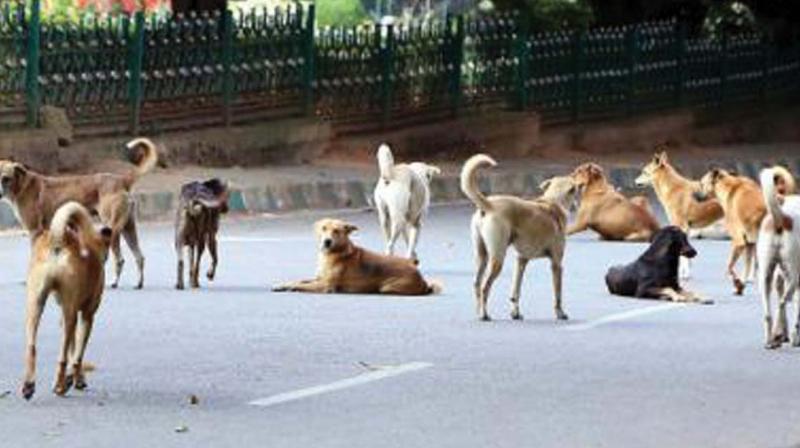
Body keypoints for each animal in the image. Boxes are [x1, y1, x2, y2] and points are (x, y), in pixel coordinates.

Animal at [0, 138, 159, 288]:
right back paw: (138, 283)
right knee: (139, 257)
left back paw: (113, 282)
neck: (22, 185)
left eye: (5, 178)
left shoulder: (35, 231)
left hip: (112, 228)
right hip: (128, 228)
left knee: (119, 259)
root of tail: (122, 180)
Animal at [20, 201, 111, 400]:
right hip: (71, 314)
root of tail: (58, 238)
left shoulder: (65, 315)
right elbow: (77, 355)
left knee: (31, 347)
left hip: (35, 305)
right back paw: (59, 387)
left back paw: (29, 385)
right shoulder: (87, 316)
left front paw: (77, 378)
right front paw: (76, 379)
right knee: (62, 357)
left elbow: (73, 349)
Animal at [274, 219, 438, 296]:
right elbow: (300, 281)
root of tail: (422, 279)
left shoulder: (325, 285)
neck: (335, 252)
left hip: (387, 287)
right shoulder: (318, 278)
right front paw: (283, 285)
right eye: (323, 228)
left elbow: (303, 285)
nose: (327, 241)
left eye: (336, 231)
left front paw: (293, 288)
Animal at [460, 154, 564, 322]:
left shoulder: (521, 260)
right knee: (485, 287)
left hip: (482, 256)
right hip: (497, 258)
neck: (551, 203)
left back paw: (478, 312)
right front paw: (560, 313)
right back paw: (484, 314)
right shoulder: (556, 263)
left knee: (477, 283)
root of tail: (488, 204)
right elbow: (558, 294)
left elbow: (516, 290)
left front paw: (515, 313)